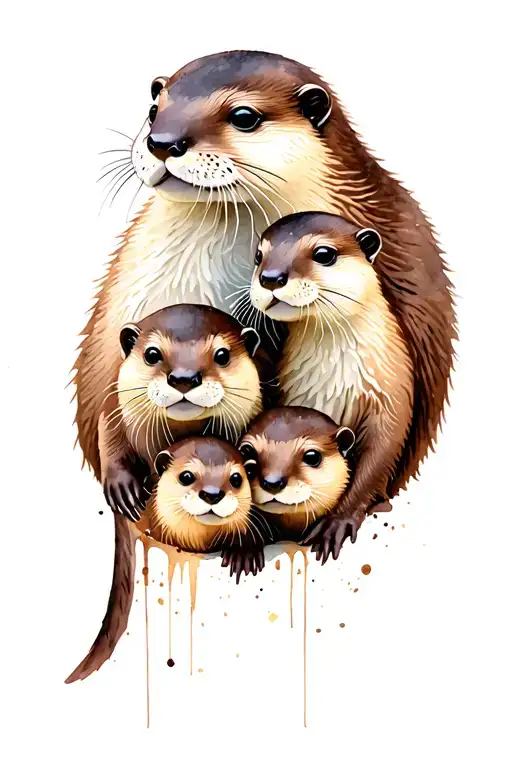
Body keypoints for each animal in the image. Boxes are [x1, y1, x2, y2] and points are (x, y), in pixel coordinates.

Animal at [100, 304, 264, 522]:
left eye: (222, 355)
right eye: (152, 354)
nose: (183, 378)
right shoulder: (113, 409)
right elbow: (109, 436)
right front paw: (123, 489)